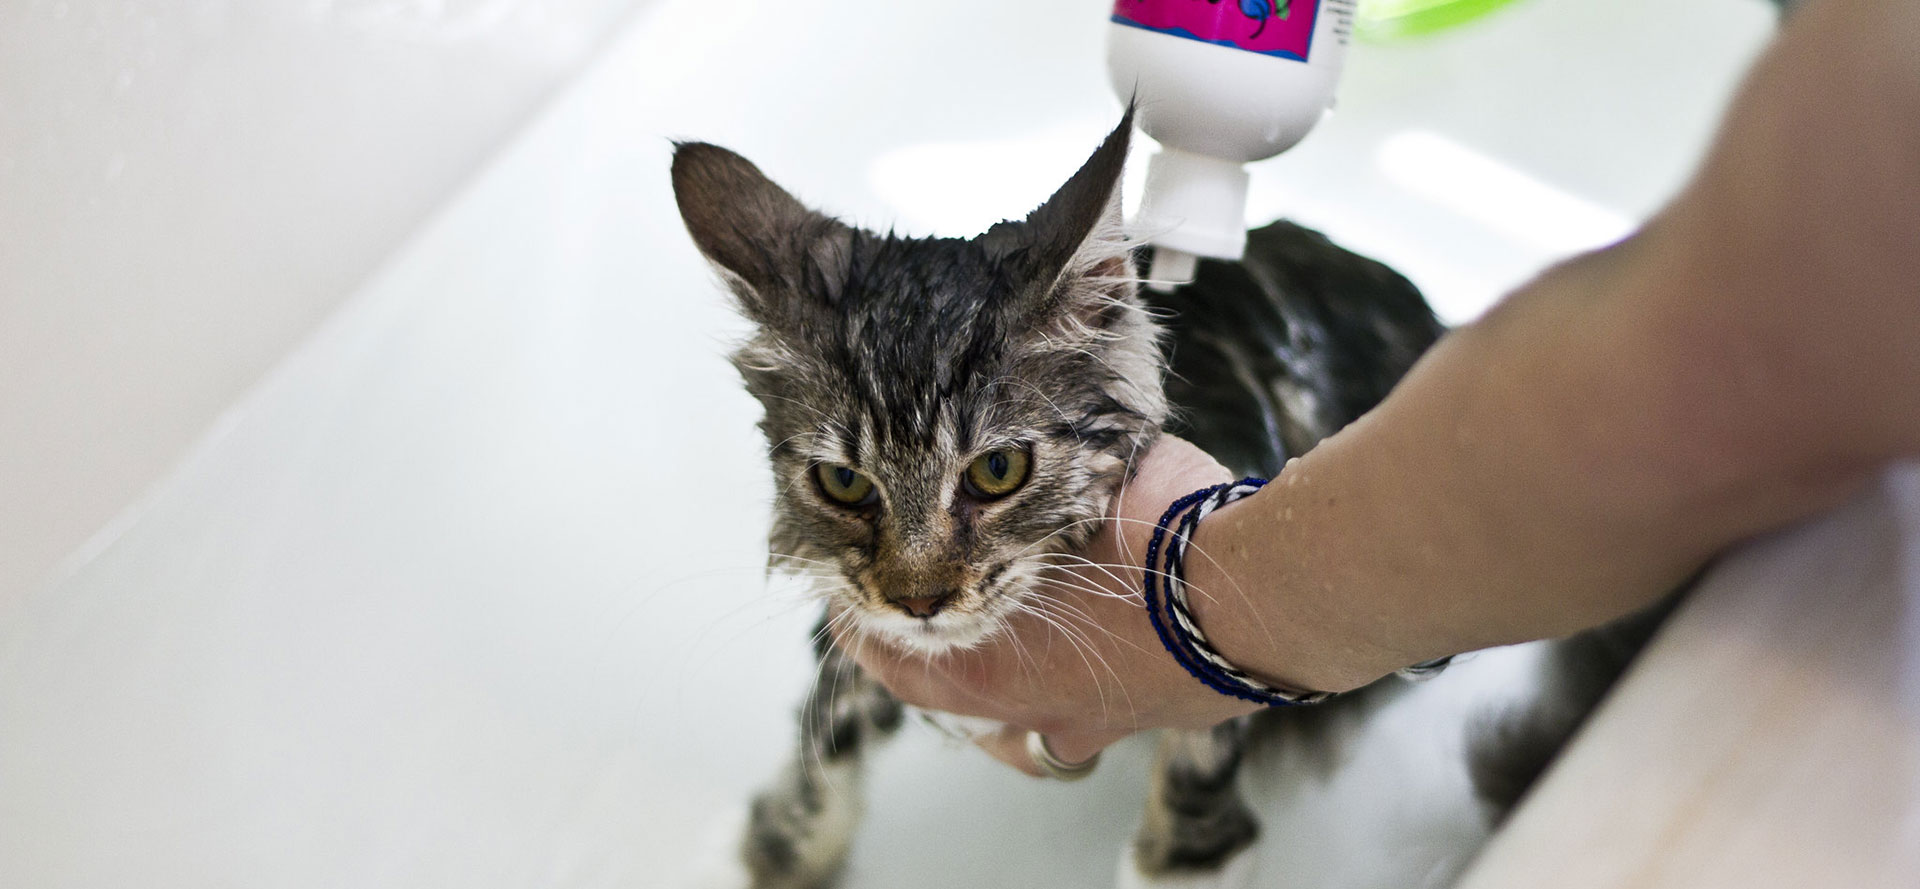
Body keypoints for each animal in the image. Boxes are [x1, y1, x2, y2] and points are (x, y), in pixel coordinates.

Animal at [668, 113, 1658, 889]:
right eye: (843, 483)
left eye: (998, 471)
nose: (919, 599)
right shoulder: (851, 623)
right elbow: (827, 728)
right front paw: (783, 848)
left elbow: (1201, 766)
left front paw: (1188, 850)